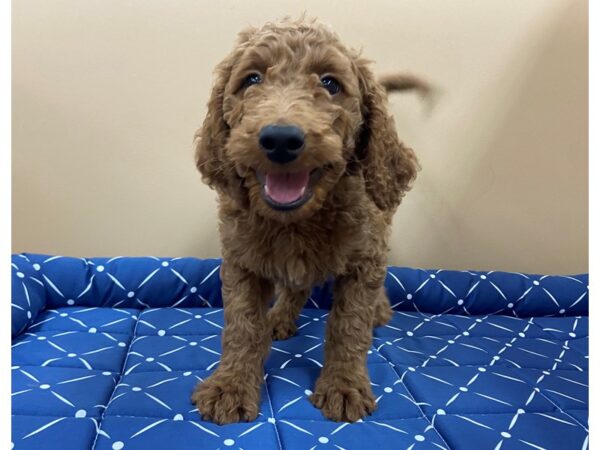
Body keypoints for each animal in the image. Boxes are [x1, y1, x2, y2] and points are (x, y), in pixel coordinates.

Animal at [191, 17, 422, 424]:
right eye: (251, 79)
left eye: (330, 84)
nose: (281, 139)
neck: (297, 221)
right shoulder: (241, 261)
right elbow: (242, 326)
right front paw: (230, 386)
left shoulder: (364, 260)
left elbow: (349, 326)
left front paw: (344, 386)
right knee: (295, 286)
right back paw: (280, 316)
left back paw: (379, 311)